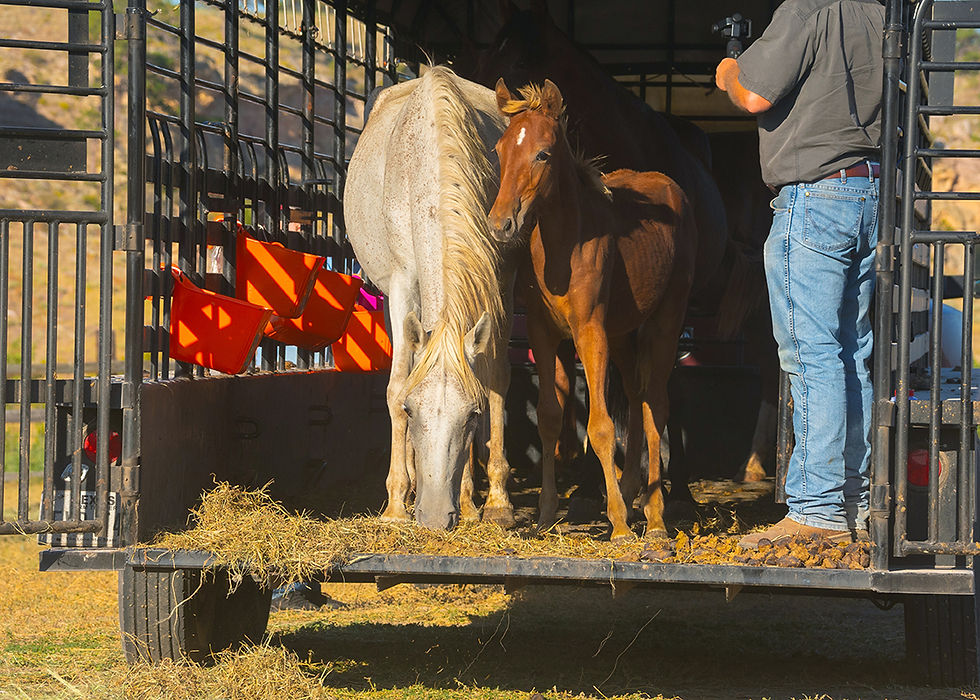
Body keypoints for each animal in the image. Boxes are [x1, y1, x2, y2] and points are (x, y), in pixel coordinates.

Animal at [344, 66, 517, 530]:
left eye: (472, 415)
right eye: (410, 410)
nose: (436, 517)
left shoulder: (496, 279)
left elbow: (494, 378)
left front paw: (488, 502)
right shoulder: (403, 283)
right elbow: (396, 383)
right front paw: (396, 505)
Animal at [488, 79, 697, 540]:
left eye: (543, 153)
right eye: (500, 149)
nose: (501, 224)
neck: (564, 244)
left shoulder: (589, 331)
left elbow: (600, 426)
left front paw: (618, 523)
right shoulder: (544, 334)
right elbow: (550, 417)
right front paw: (546, 514)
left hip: (664, 323)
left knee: (656, 405)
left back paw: (655, 516)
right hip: (621, 333)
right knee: (637, 396)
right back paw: (635, 492)